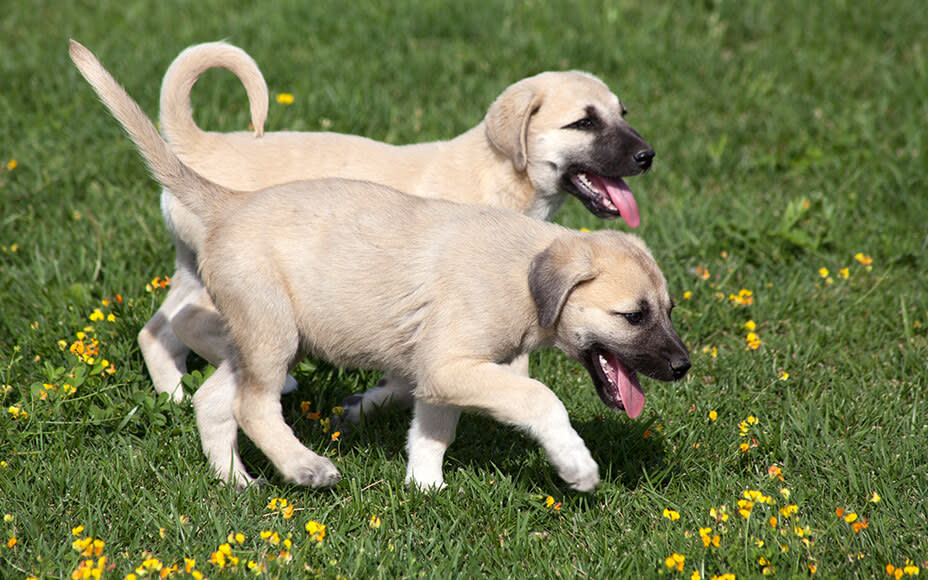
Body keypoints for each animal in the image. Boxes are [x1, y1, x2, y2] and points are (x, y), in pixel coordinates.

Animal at [141, 40, 656, 414]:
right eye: (584, 123)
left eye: (623, 114)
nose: (647, 156)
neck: (497, 176)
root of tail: (197, 144)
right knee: (189, 324)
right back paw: (273, 381)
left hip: (191, 268)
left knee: (158, 328)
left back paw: (174, 395)